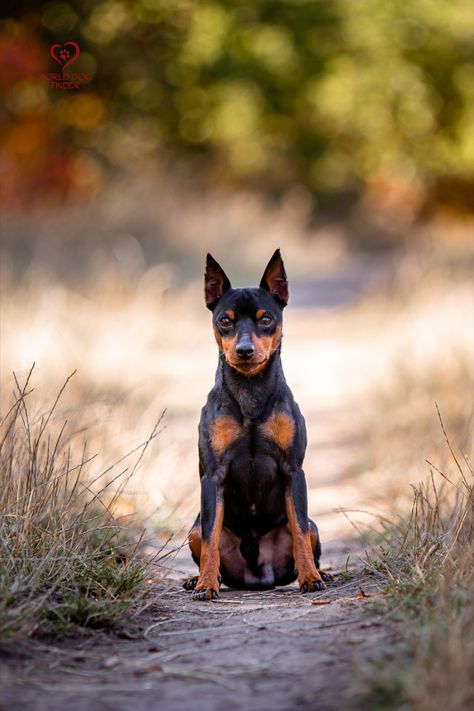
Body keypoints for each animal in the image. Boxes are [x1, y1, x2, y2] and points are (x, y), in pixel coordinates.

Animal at [182, 250, 330, 600]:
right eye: (225, 320)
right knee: (205, 541)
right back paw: (196, 579)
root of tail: (258, 577)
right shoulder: (213, 476)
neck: (250, 392)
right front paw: (206, 585)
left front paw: (310, 579)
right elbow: (210, 538)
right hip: (192, 529)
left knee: (307, 534)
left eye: (266, 319)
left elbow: (299, 530)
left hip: (313, 528)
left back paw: (321, 573)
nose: (245, 350)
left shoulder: (293, 470)